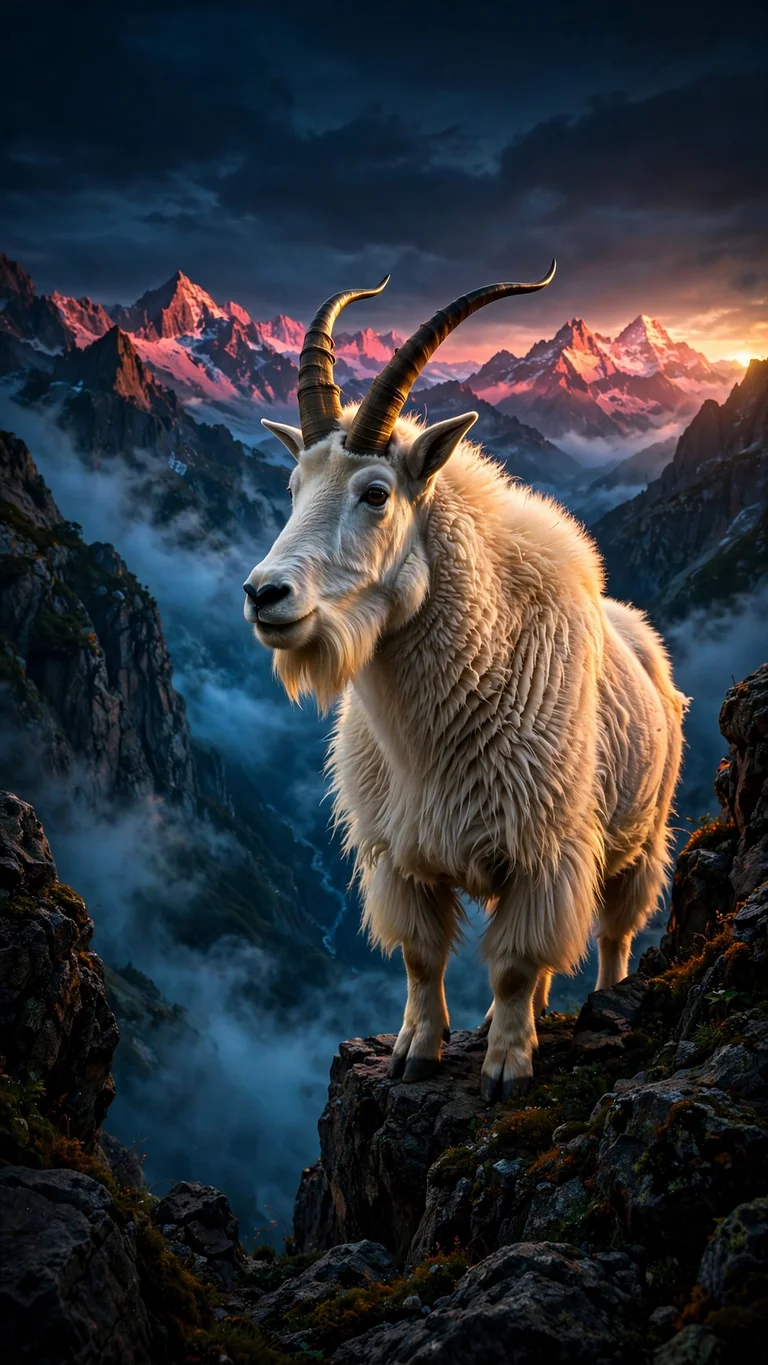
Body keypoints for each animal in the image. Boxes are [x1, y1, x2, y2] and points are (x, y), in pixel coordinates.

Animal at [243, 268, 686, 1100]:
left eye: (376, 492)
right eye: (292, 484)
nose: (264, 595)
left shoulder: (546, 849)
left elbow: (514, 963)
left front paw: (507, 1066)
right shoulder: (399, 852)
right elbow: (422, 957)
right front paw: (416, 1051)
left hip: (639, 833)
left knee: (615, 929)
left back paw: (606, 1001)